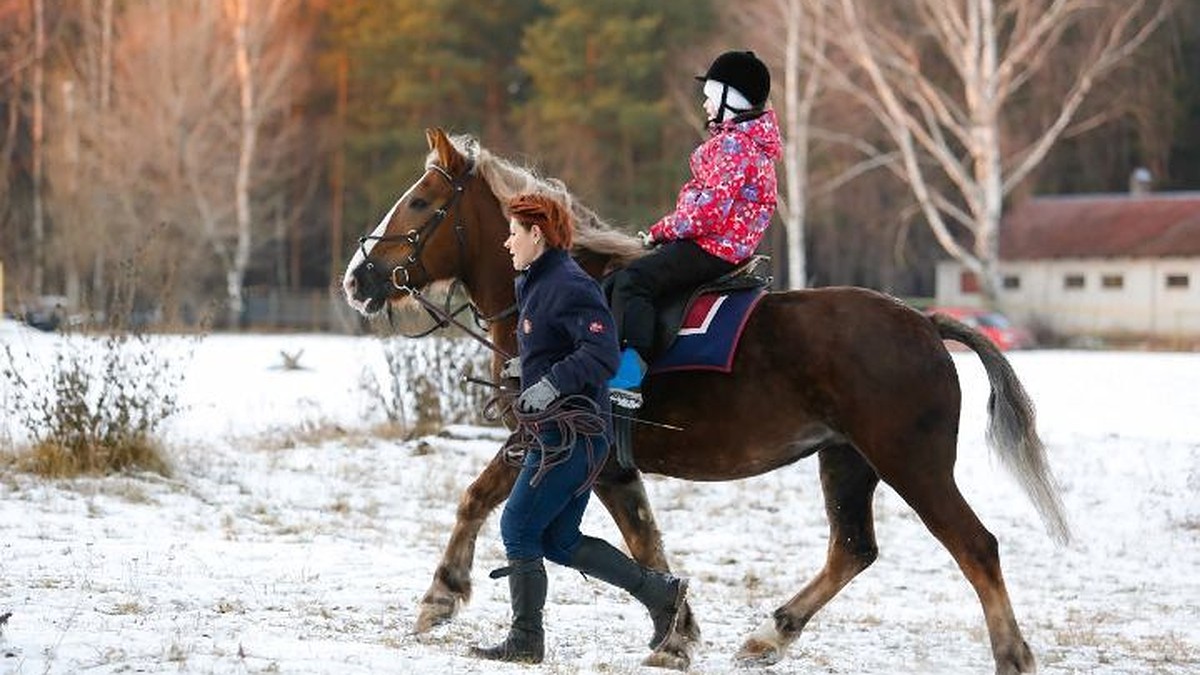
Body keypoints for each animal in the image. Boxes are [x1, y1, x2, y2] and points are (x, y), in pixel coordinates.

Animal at [338, 127, 1070, 672]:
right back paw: (772, 633)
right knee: (853, 549)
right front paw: (677, 629)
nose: (357, 278)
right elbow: (643, 543)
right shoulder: (606, 465)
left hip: (910, 463)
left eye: (420, 203)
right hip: (846, 460)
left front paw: (441, 594)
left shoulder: (550, 440)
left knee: (976, 545)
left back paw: (1012, 653)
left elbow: (482, 497)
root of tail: (924, 322)